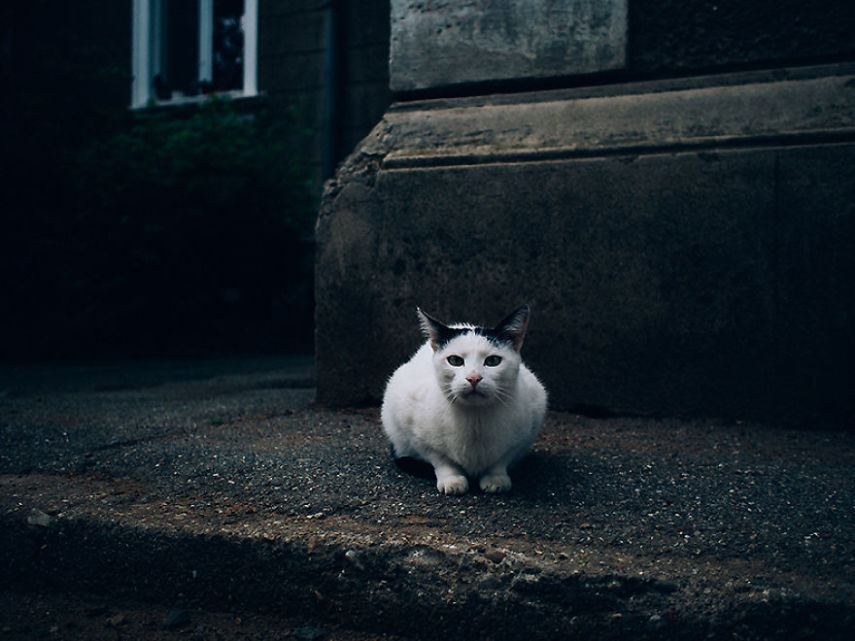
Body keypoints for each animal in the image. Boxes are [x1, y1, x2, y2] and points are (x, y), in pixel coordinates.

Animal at [382, 304, 548, 496]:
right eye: (455, 360)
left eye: (493, 361)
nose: (474, 378)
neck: (475, 419)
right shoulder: (414, 430)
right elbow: (440, 459)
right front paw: (452, 479)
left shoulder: (525, 432)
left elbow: (501, 459)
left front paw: (496, 478)